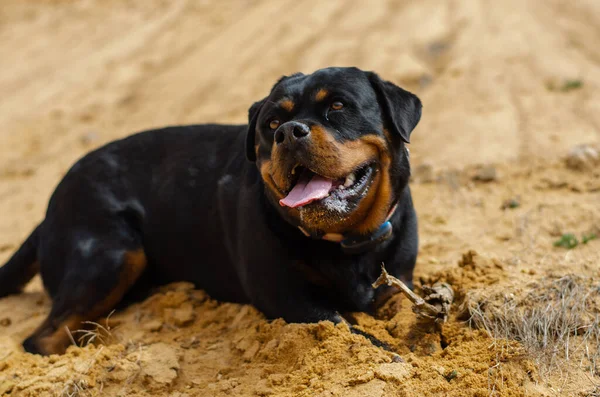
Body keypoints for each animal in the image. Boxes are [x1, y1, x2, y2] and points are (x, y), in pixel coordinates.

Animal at [0, 66, 422, 354]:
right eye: (272, 122)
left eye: (337, 106)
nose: (288, 132)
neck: (346, 242)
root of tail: (48, 211)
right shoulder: (291, 302)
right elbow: (354, 334)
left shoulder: (397, 282)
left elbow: (407, 307)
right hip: (113, 252)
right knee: (42, 340)